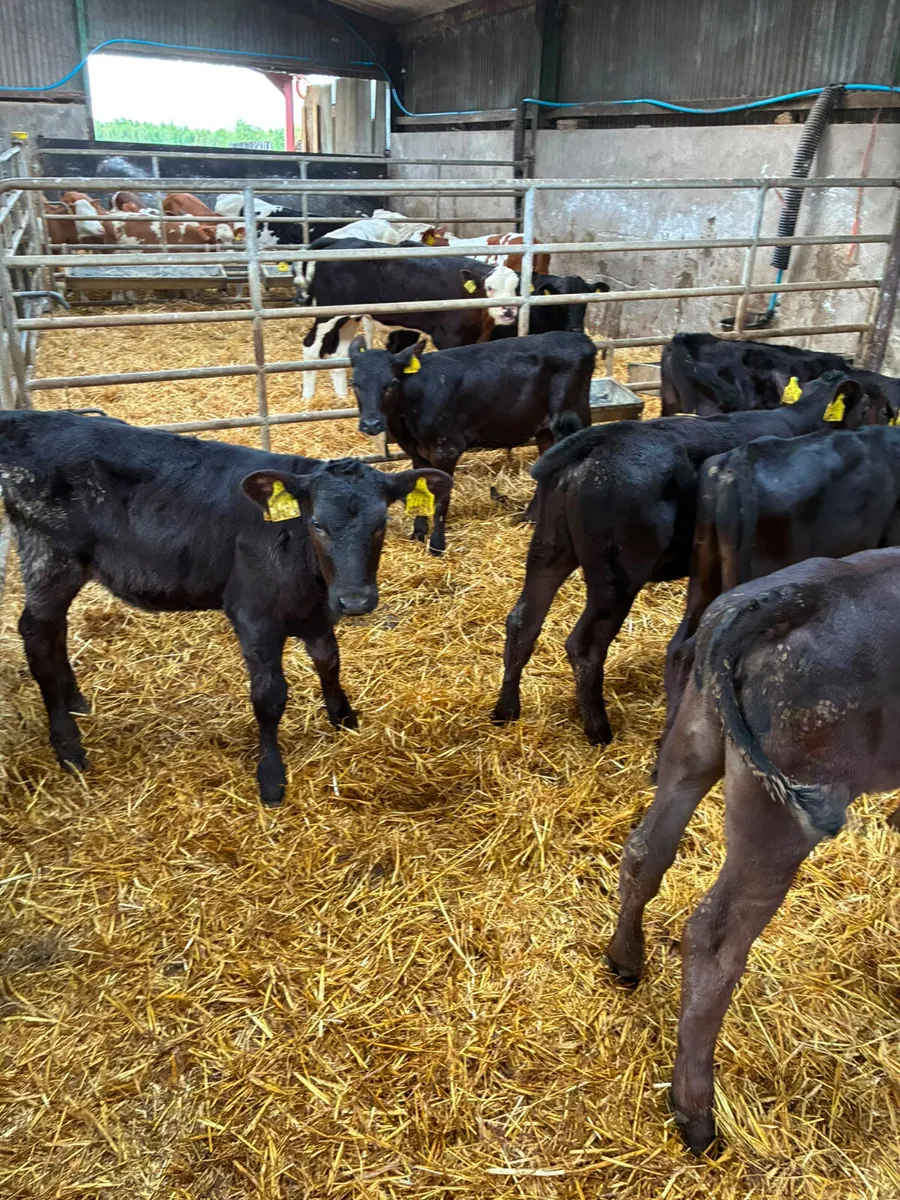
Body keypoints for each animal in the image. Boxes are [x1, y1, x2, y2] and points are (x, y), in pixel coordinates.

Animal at [0, 410, 451, 808]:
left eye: (380, 524)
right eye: (318, 524)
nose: (355, 600)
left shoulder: (317, 614)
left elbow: (329, 662)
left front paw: (344, 719)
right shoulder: (254, 617)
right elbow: (269, 696)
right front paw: (271, 778)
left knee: (55, 630)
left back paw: (75, 700)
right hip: (50, 557)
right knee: (36, 634)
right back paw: (69, 746)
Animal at [297, 238, 520, 402]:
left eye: (516, 288)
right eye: (490, 287)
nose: (508, 310)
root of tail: (338, 241)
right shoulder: (449, 336)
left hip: (350, 316)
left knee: (339, 352)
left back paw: (342, 398)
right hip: (328, 313)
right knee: (311, 347)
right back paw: (308, 399)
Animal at [349, 331, 595, 554]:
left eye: (391, 383)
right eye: (354, 384)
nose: (371, 424)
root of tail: (580, 338)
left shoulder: (447, 448)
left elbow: (442, 499)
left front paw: (436, 546)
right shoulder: (417, 452)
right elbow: (419, 489)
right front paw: (418, 534)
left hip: (572, 420)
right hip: (545, 431)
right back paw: (529, 518)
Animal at [606, 547, 900, 1154]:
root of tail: (783, 601)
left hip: (692, 748)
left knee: (645, 852)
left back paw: (624, 958)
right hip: (779, 819)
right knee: (716, 938)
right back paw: (695, 1114)